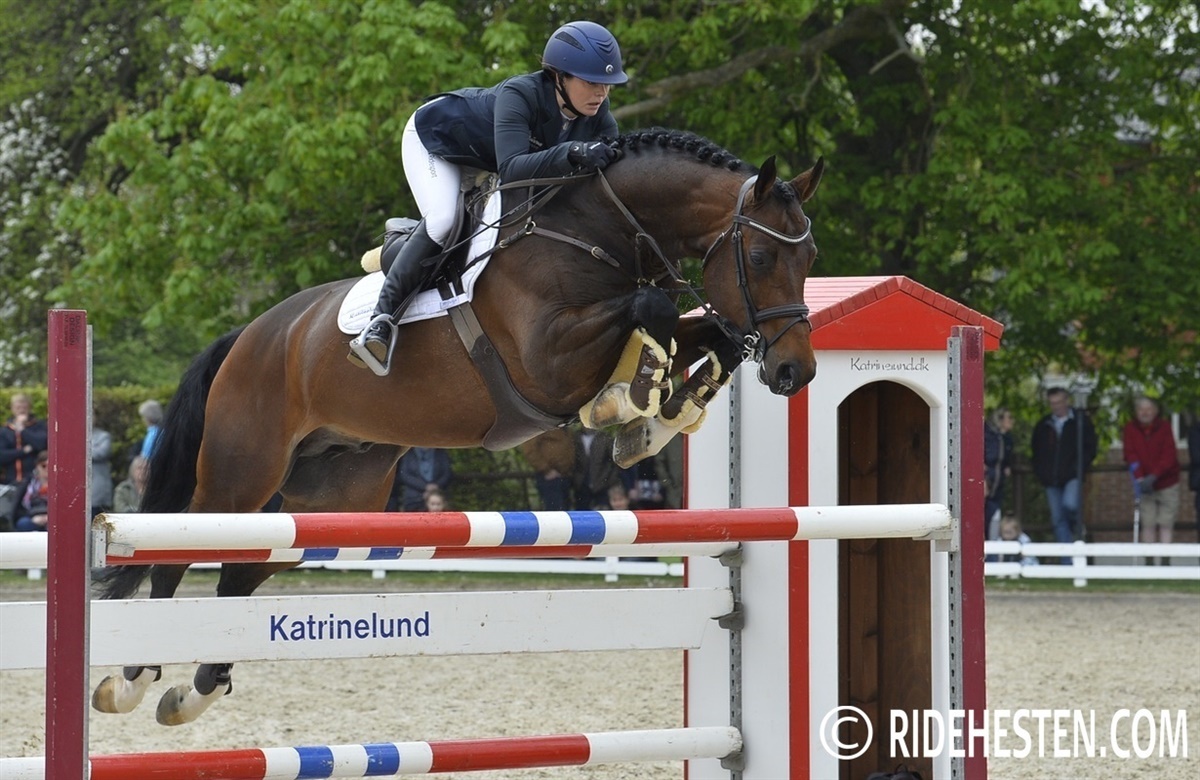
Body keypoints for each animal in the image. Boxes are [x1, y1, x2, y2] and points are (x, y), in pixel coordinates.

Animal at [91, 129, 824, 725]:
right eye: (762, 259)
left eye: (811, 257)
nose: (796, 372)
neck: (598, 231)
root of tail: (250, 335)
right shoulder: (546, 359)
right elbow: (652, 308)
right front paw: (631, 401)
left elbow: (705, 331)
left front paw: (663, 411)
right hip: (241, 474)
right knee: (177, 553)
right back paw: (134, 681)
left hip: (329, 497)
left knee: (240, 579)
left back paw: (194, 692)